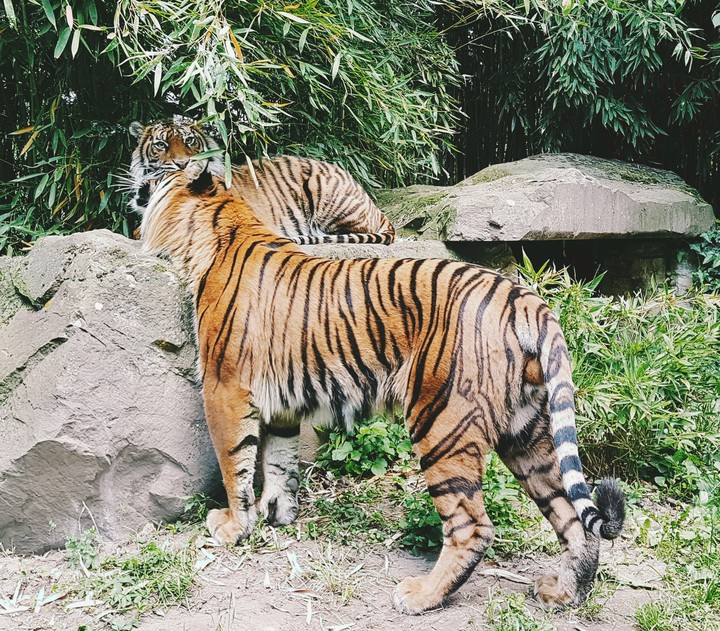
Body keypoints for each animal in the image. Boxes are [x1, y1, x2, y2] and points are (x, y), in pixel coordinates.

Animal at [135, 164, 625, 615]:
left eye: (159, 177)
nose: (138, 188)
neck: (225, 224)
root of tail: (525, 299)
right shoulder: (282, 400)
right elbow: (278, 460)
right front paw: (278, 513)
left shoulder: (225, 389)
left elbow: (233, 463)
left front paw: (234, 525)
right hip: (527, 432)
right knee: (572, 517)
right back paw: (564, 594)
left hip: (441, 422)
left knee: (472, 525)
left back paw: (421, 595)